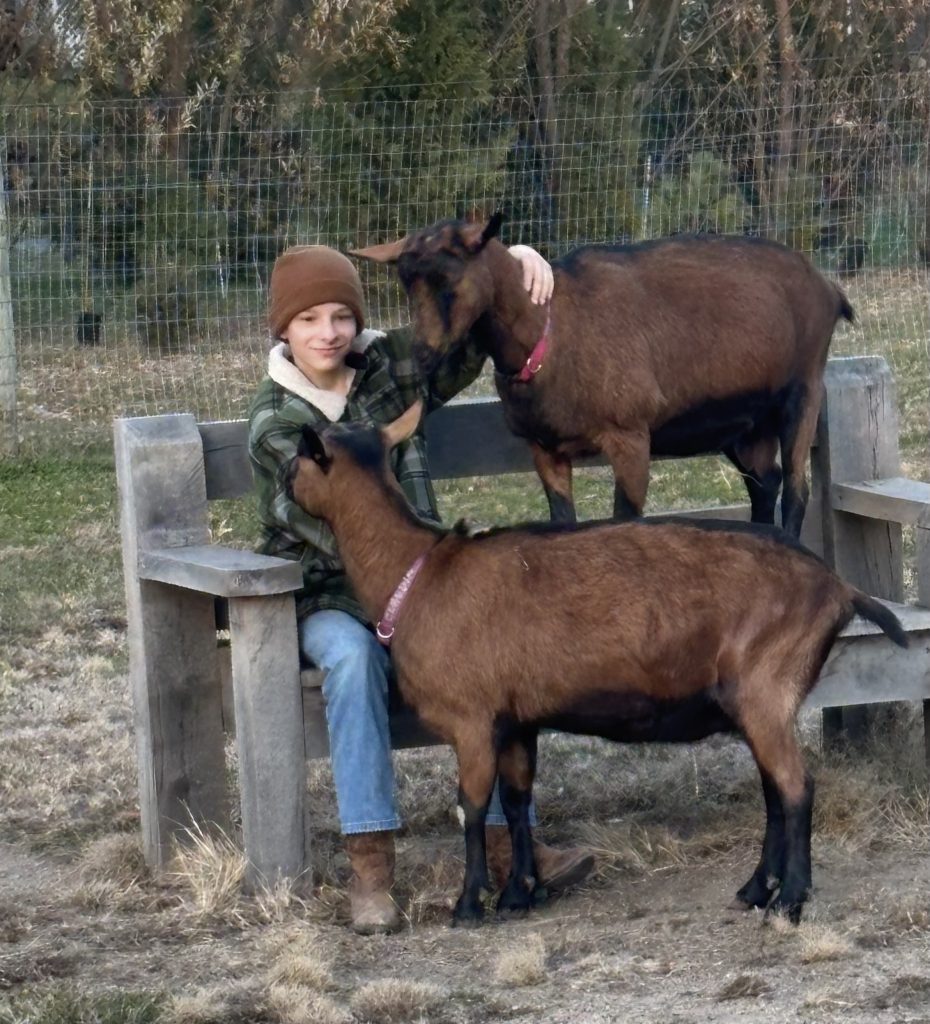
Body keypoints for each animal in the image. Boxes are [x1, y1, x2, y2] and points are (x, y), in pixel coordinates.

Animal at [286, 403, 907, 928]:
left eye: (299, 457)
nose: (284, 493)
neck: (417, 574)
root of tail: (839, 588)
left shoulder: (472, 718)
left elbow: (472, 807)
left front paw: (468, 905)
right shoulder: (516, 719)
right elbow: (516, 800)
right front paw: (520, 895)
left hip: (766, 687)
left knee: (797, 788)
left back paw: (790, 902)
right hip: (760, 702)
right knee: (776, 790)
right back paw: (755, 890)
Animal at [351, 216, 854, 538]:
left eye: (450, 280)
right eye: (406, 282)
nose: (422, 355)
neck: (549, 335)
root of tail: (830, 289)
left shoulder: (630, 435)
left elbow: (624, 521)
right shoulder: (546, 448)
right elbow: (563, 524)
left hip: (803, 391)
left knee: (796, 490)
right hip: (744, 425)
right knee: (765, 482)